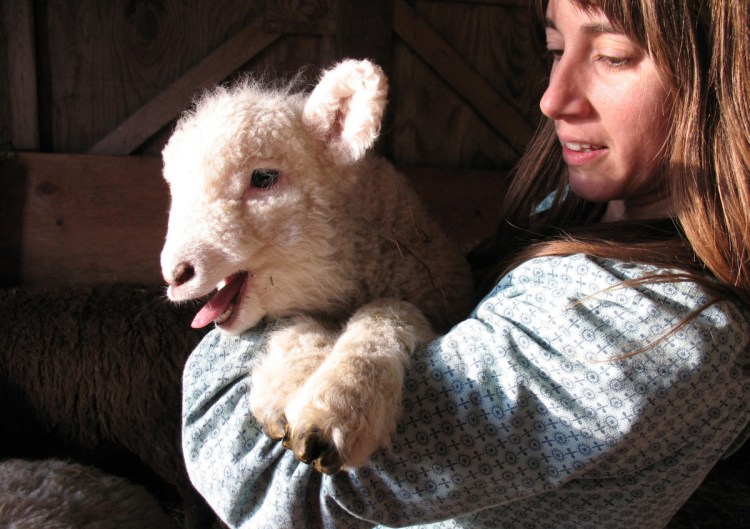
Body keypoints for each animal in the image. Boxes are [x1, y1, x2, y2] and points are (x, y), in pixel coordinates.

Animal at [162, 58, 472, 474]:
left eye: (263, 177)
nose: (177, 274)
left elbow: (390, 312)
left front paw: (338, 407)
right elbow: (303, 327)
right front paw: (286, 386)